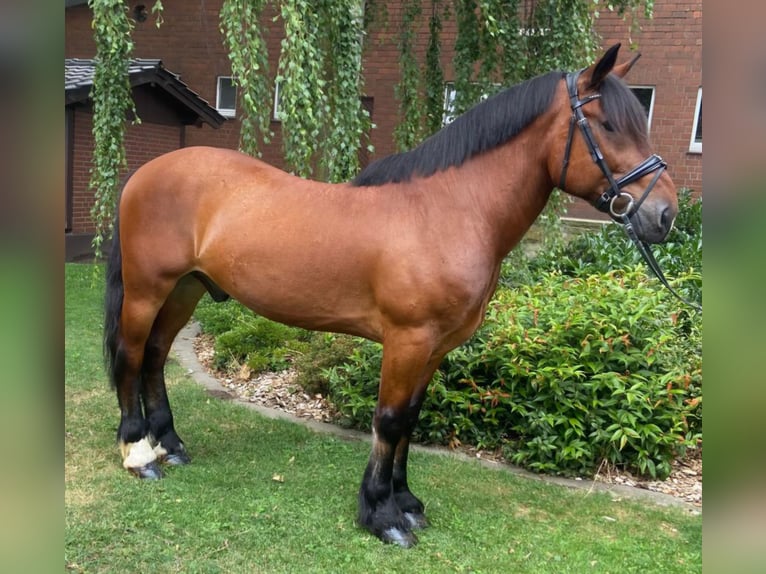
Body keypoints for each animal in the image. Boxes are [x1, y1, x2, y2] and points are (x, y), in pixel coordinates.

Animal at [103, 44, 677, 547]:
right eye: (607, 124)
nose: (665, 214)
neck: (447, 210)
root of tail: (146, 173)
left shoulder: (435, 347)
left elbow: (412, 420)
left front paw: (406, 502)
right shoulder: (407, 341)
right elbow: (389, 420)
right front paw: (382, 515)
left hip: (185, 291)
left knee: (155, 356)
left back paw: (170, 445)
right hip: (148, 290)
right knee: (131, 356)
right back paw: (139, 453)